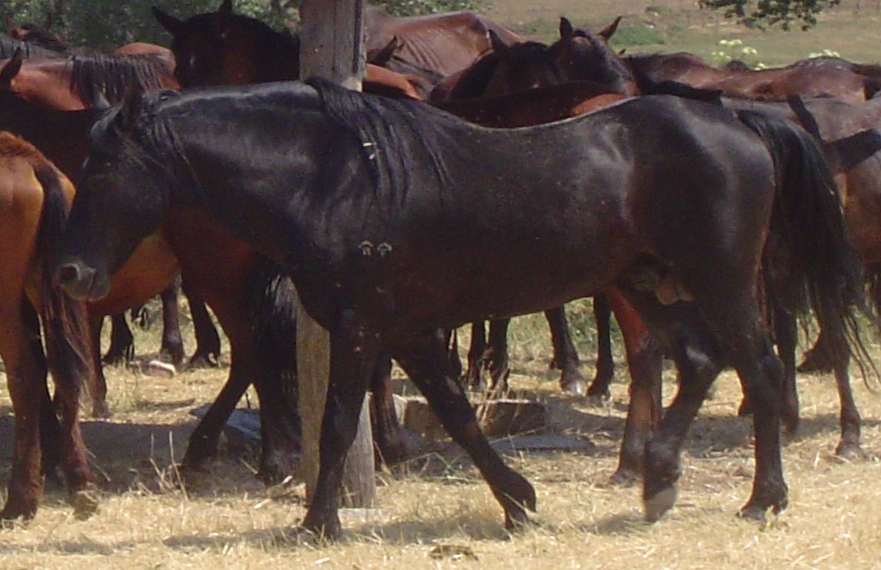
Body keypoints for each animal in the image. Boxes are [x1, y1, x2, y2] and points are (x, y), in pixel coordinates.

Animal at [54, 79, 866, 538]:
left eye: (105, 165)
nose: (70, 271)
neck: (336, 179)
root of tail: (740, 122)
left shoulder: (361, 328)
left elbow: (338, 422)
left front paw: (318, 523)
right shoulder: (407, 331)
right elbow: (458, 415)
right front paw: (519, 502)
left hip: (720, 282)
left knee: (759, 370)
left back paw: (762, 499)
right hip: (644, 282)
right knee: (697, 362)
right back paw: (658, 481)